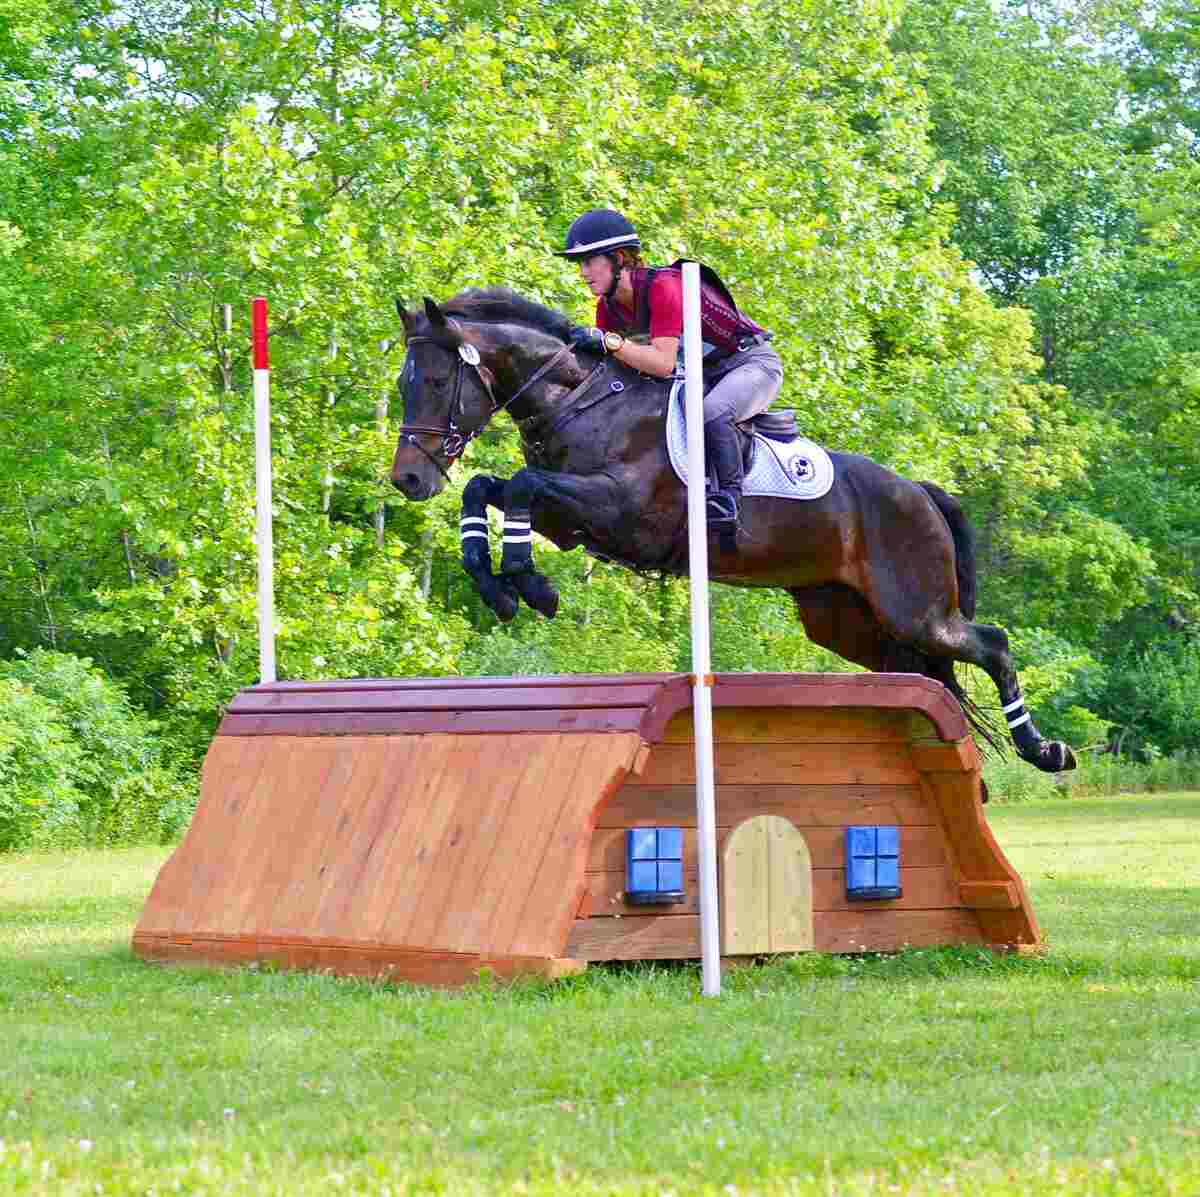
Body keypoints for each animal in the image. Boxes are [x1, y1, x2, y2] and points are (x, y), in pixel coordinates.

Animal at [390, 287, 1076, 773]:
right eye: (403, 384)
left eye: (435, 382)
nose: (408, 480)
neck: (580, 399)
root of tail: (920, 491)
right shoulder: (570, 521)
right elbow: (489, 488)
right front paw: (498, 585)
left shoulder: (618, 512)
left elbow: (521, 488)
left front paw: (530, 585)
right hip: (847, 621)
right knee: (928, 674)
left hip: (916, 609)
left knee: (993, 644)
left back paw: (1045, 752)